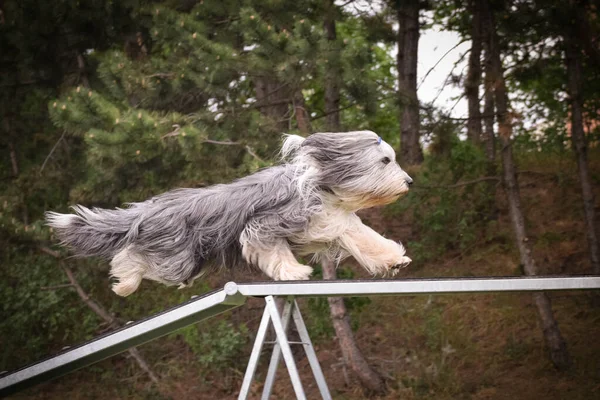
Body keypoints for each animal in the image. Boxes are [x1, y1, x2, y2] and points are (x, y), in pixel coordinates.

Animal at [45, 130, 412, 296]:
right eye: (385, 161)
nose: (409, 181)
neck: (320, 186)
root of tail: (150, 209)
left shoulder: (336, 221)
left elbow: (367, 239)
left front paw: (395, 260)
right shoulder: (264, 224)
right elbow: (274, 253)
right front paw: (294, 273)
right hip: (177, 258)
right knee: (131, 258)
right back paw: (125, 282)